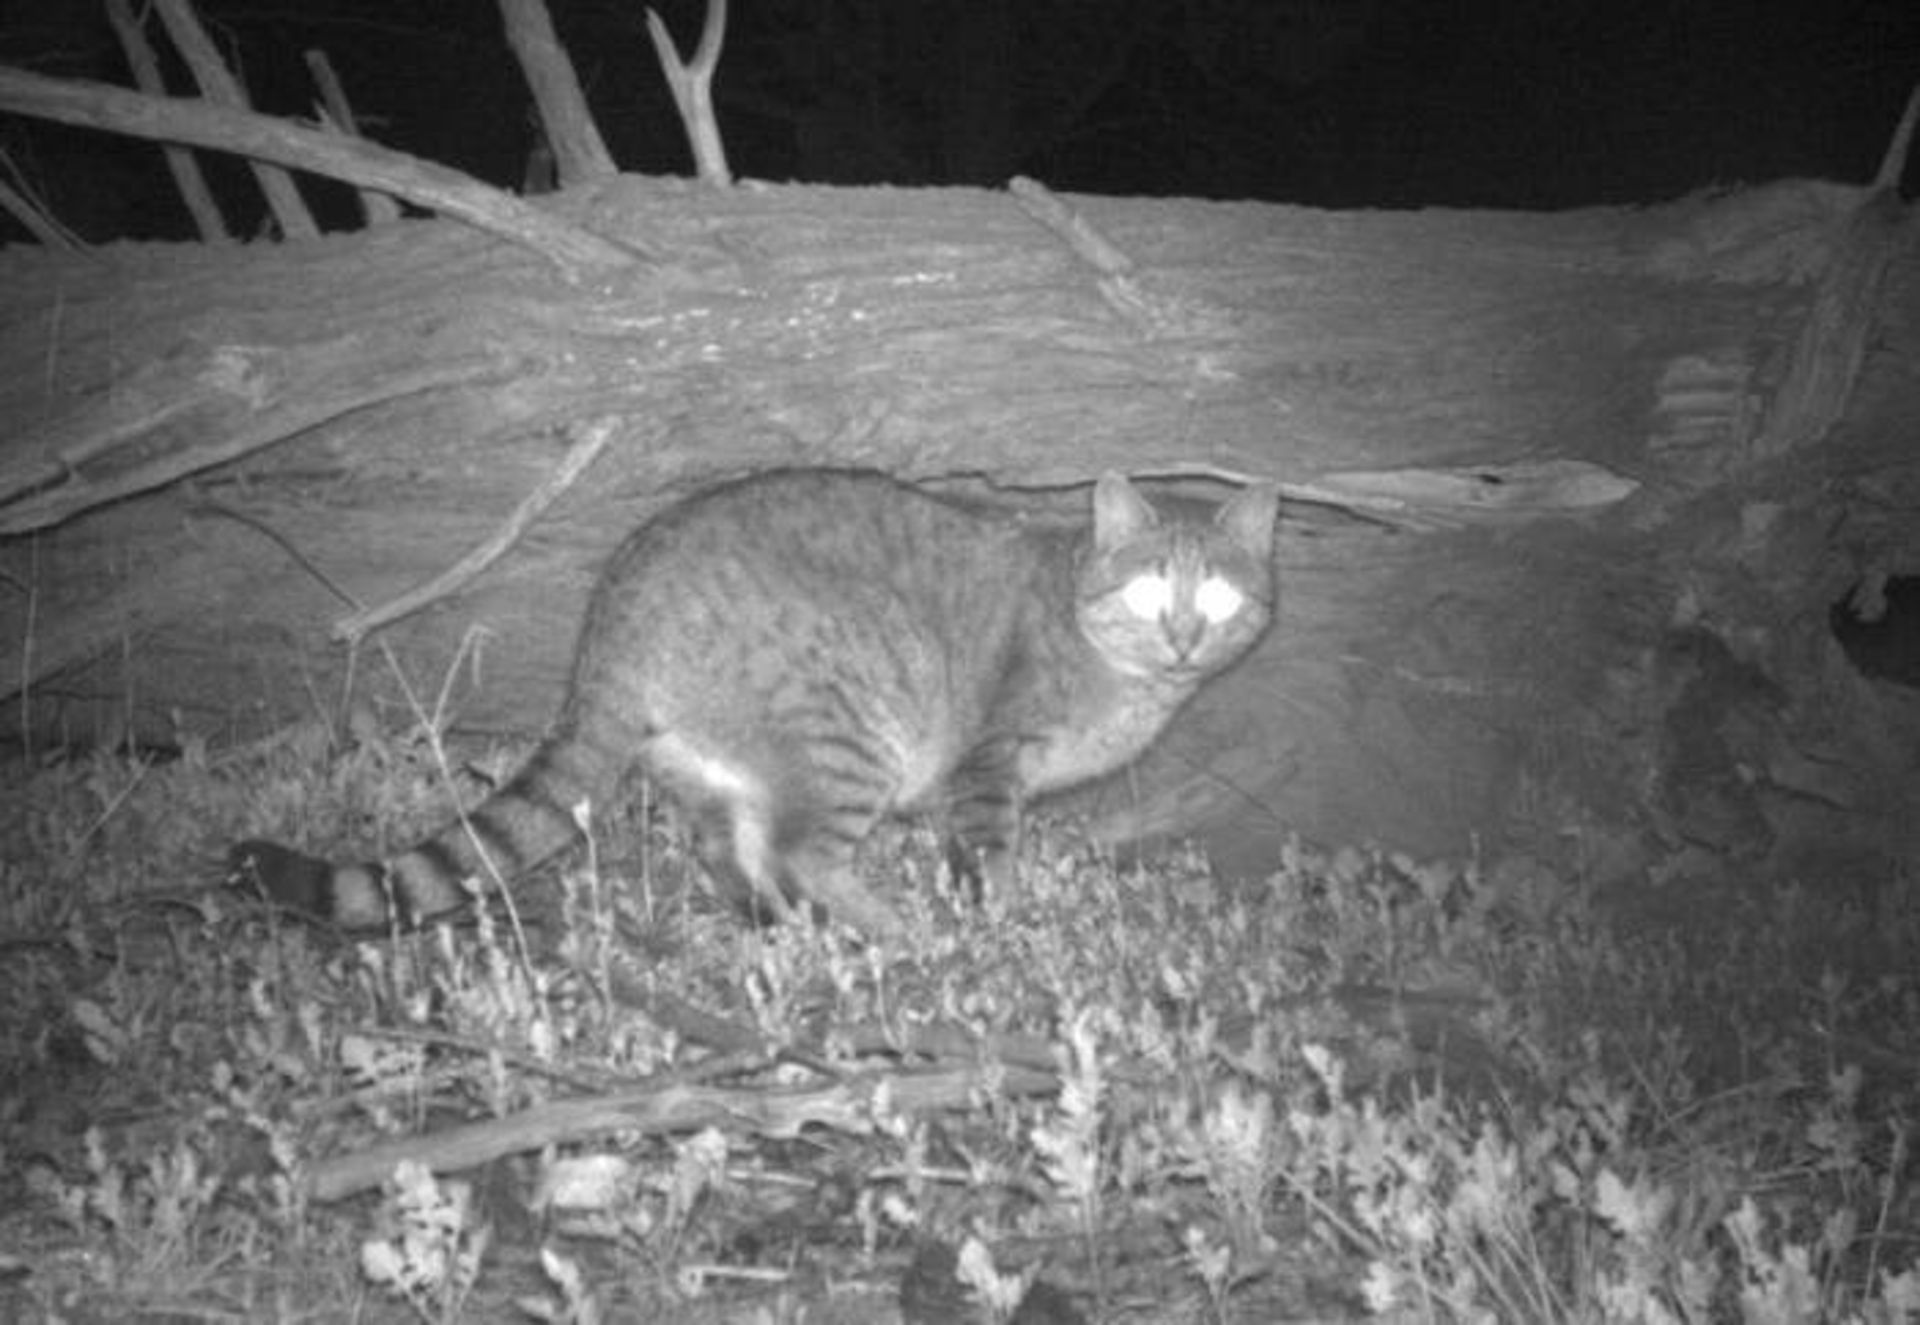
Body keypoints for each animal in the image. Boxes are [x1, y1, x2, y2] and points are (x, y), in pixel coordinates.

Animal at [232, 470, 1282, 933]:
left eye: (1220, 598)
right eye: (1149, 592)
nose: (1185, 637)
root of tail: (618, 603)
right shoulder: (990, 763)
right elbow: (987, 856)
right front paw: (998, 922)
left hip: (711, 758)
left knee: (729, 848)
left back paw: (774, 924)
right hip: (851, 716)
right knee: (805, 850)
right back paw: (889, 927)